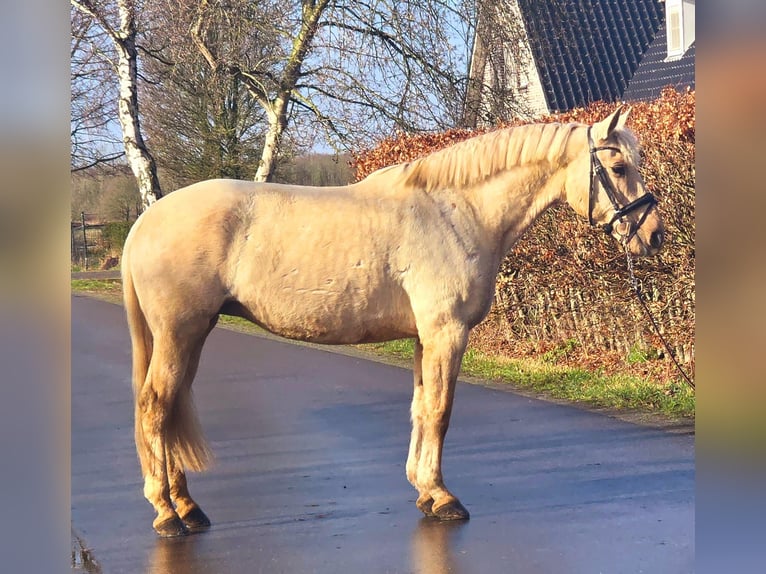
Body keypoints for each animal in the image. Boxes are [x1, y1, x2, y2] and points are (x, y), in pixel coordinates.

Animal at [121, 106, 664, 536]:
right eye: (617, 165)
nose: (654, 235)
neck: (455, 212)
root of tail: (144, 221)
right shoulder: (447, 333)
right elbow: (441, 412)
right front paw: (444, 498)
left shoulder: (426, 338)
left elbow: (421, 410)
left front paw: (426, 492)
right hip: (179, 334)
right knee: (155, 408)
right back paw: (166, 514)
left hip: (193, 335)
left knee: (170, 410)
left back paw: (187, 507)